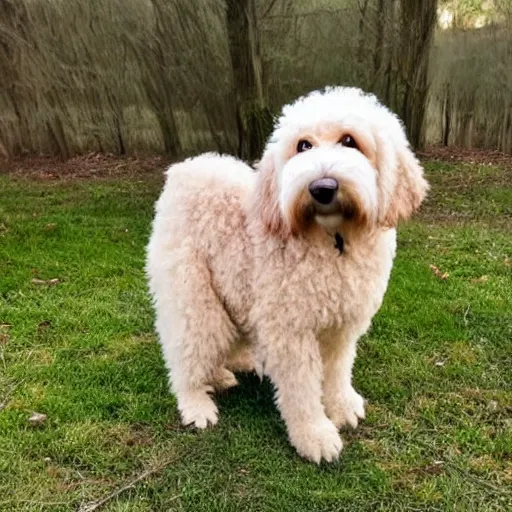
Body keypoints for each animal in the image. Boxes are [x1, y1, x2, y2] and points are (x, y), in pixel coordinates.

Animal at [146, 88, 430, 464]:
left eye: (350, 141)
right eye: (303, 145)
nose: (322, 187)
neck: (333, 241)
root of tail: (186, 168)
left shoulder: (342, 326)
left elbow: (337, 370)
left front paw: (342, 407)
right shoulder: (291, 331)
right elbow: (301, 388)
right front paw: (315, 435)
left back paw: (230, 369)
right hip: (193, 297)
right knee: (187, 354)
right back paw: (196, 403)